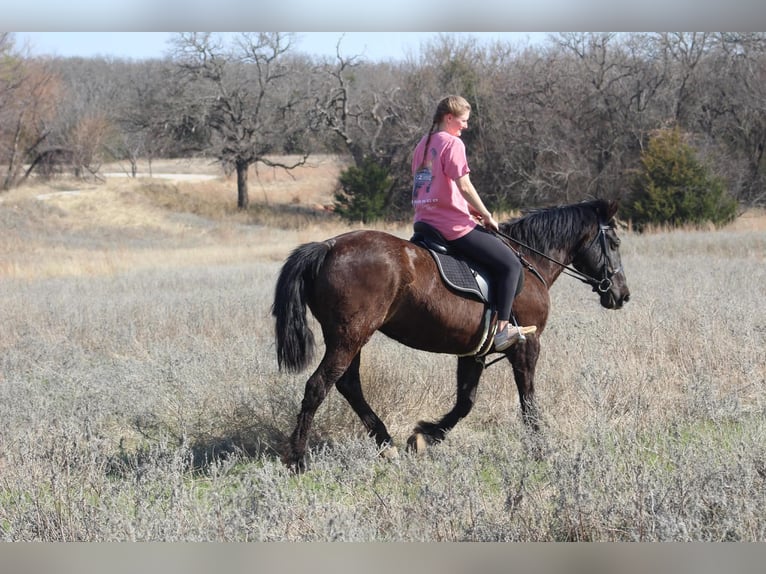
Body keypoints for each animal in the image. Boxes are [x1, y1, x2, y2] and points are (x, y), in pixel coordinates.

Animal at [272, 199, 630, 471]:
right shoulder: (528, 346)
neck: (530, 263)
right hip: (350, 336)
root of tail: (328, 246)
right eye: (614, 243)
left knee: (348, 384)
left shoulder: (474, 351)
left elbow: (465, 402)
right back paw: (298, 459)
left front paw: (423, 436)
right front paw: (540, 449)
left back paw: (386, 443)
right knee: (318, 385)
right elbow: (527, 400)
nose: (622, 295)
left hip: (351, 337)